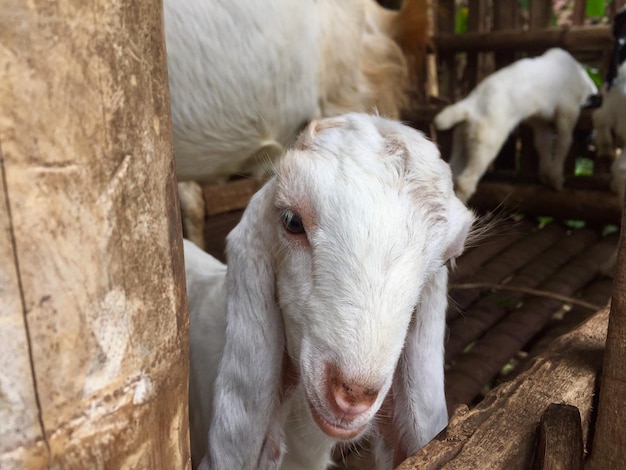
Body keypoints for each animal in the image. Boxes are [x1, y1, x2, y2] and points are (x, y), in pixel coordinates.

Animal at [432, 47, 596, 204]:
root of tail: (469, 106)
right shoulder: (567, 111)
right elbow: (563, 143)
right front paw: (556, 180)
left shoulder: (540, 120)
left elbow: (543, 143)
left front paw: (545, 175)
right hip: (485, 144)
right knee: (466, 182)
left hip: (461, 140)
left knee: (451, 172)